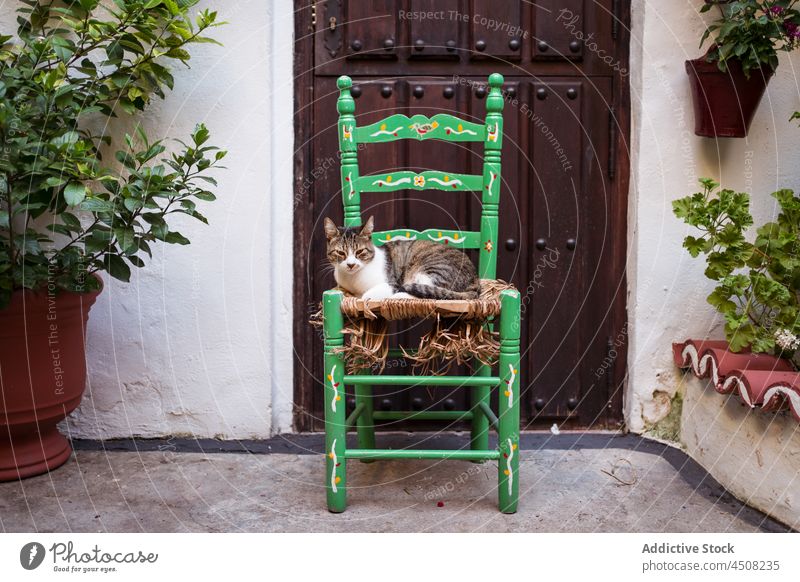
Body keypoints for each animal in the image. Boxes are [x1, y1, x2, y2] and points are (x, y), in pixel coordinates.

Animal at [322, 218, 478, 304]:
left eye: (360, 252)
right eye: (340, 253)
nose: (351, 264)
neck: (353, 280)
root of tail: (475, 278)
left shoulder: (391, 283)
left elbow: (366, 296)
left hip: (431, 270)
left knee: (431, 294)